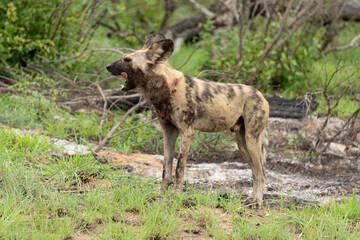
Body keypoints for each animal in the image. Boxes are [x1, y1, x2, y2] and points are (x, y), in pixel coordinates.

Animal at [105, 33, 268, 206]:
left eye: (127, 60)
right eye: (123, 57)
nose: (108, 66)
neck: (166, 88)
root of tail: (260, 94)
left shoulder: (186, 132)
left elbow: (179, 168)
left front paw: (176, 196)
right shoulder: (169, 133)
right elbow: (166, 169)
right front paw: (162, 195)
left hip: (251, 140)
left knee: (262, 173)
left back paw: (257, 202)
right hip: (242, 143)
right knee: (256, 171)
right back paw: (252, 199)